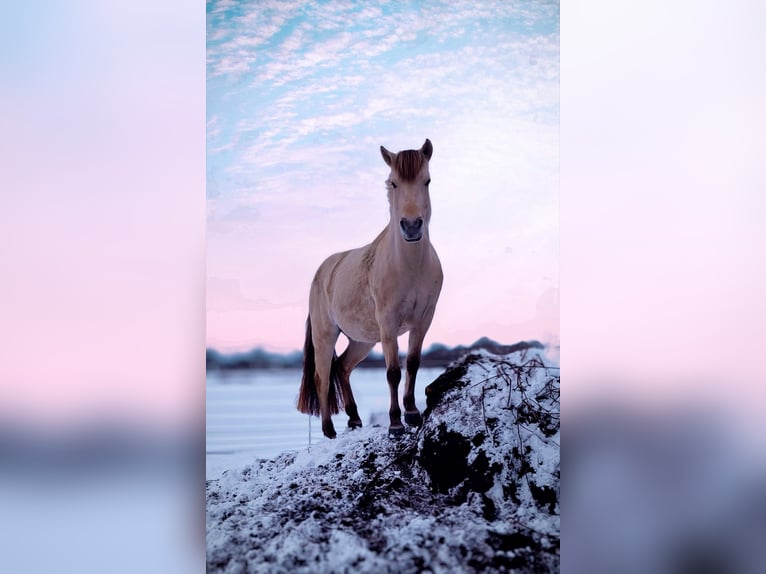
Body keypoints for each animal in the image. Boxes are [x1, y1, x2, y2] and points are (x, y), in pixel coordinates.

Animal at [297, 139, 443, 438]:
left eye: (427, 181)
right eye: (394, 183)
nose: (412, 227)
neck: (410, 267)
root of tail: (322, 271)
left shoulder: (423, 319)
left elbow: (413, 363)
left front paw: (412, 413)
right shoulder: (388, 322)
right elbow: (393, 372)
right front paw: (396, 424)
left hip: (362, 340)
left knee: (342, 367)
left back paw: (354, 419)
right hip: (325, 335)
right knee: (322, 375)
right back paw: (329, 430)